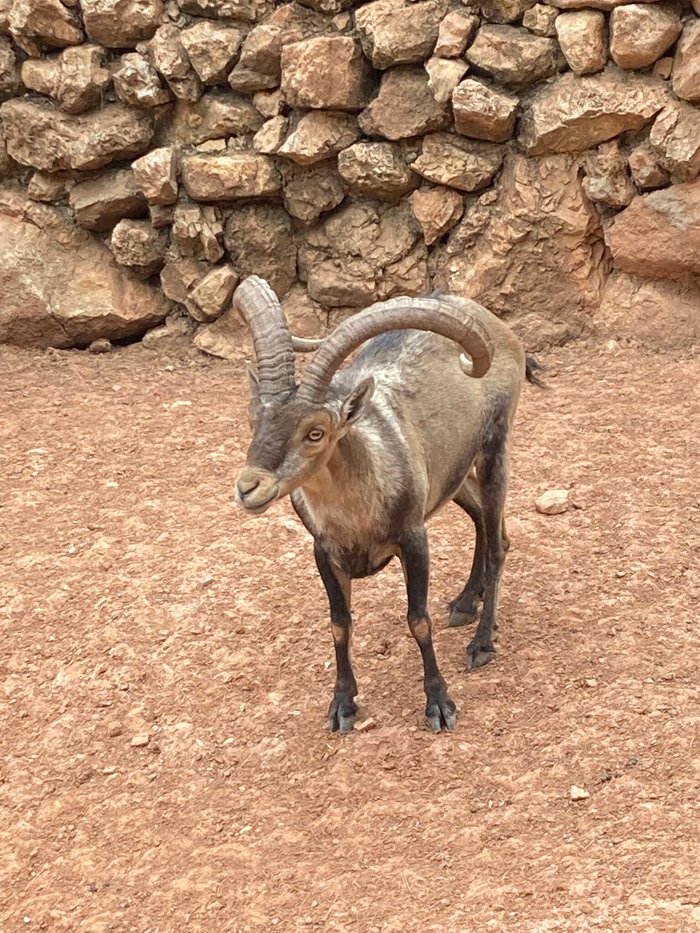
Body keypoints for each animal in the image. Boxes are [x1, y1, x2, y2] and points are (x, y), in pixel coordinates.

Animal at [235, 274, 536, 732]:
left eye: (316, 432)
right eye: (255, 417)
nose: (249, 487)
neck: (358, 515)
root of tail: (493, 323)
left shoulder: (414, 538)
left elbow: (419, 621)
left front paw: (439, 704)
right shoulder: (324, 551)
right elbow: (339, 625)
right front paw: (342, 705)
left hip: (495, 448)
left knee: (499, 540)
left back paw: (482, 642)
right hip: (451, 472)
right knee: (485, 520)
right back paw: (466, 601)